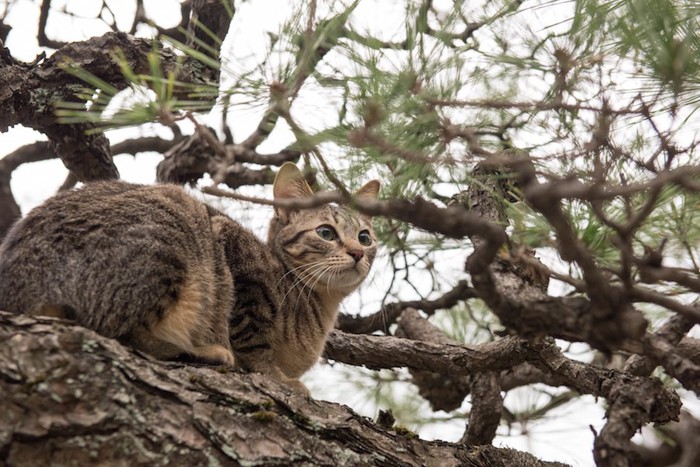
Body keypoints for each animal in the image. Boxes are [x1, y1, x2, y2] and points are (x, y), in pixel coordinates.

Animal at [0, 163, 380, 394]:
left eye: (365, 237)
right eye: (326, 232)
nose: (357, 253)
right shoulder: (236, 257)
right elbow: (253, 338)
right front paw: (274, 376)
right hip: (168, 236)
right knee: (121, 332)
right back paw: (203, 352)